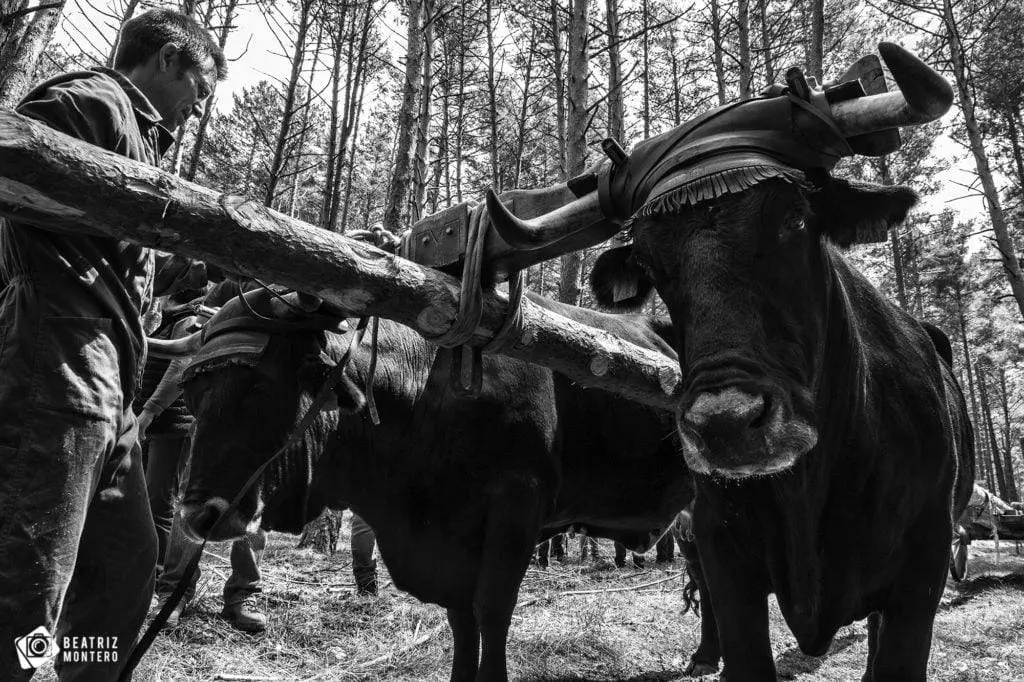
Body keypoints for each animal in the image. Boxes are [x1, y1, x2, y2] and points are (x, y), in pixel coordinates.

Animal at [168, 287, 704, 681]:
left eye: (259, 386)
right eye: (191, 395)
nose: (199, 515)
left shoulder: (516, 509)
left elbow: (492, 610)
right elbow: (461, 618)